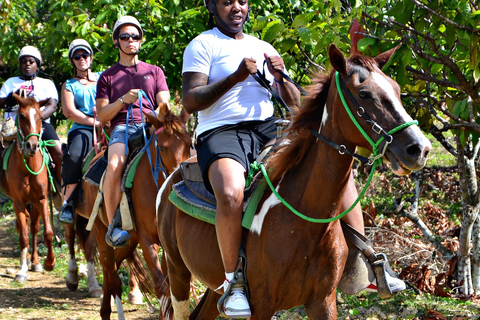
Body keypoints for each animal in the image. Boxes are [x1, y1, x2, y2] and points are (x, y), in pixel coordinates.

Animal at [0, 93, 56, 282]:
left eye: (40, 116)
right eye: (22, 116)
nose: (32, 145)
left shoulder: (42, 199)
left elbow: (47, 232)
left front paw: (49, 263)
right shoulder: (18, 201)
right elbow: (23, 236)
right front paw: (22, 270)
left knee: (34, 227)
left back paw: (36, 262)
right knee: (24, 224)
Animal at [76, 107, 190, 320]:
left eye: (189, 144)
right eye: (162, 148)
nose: (178, 176)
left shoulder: (166, 245)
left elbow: (170, 292)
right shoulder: (147, 240)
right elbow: (161, 287)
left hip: (129, 240)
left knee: (113, 268)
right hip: (101, 232)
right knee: (110, 273)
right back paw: (107, 311)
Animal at [157, 43, 432, 320]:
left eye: (396, 89)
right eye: (364, 93)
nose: (419, 148)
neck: (304, 219)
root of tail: (172, 178)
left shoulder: (323, 301)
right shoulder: (261, 307)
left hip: (214, 287)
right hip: (177, 273)